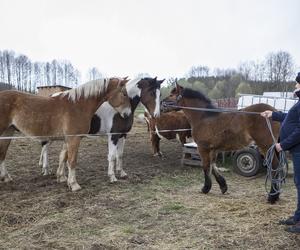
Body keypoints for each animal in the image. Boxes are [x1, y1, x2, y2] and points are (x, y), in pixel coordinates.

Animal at [0, 78, 131, 191]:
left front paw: (63, 178)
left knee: (2, 154)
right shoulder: (74, 139)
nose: (128, 114)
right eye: (124, 93)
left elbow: (64, 157)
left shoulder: (67, 139)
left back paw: (6, 177)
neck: (78, 105)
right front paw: (74, 184)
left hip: (8, 132)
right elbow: (72, 160)